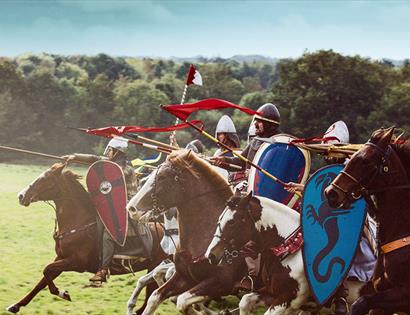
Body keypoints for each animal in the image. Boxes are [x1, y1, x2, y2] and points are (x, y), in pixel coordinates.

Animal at [6, 164, 167, 314]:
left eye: (45, 179)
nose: (21, 196)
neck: (78, 221)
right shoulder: (61, 258)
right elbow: (43, 280)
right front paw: (16, 305)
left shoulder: (76, 263)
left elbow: (47, 270)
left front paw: (62, 293)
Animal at [126, 151, 247, 315]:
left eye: (162, 177)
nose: (131, 208)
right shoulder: (184, 277)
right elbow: (156, 296)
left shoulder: (222, 282)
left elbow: (182, 301)